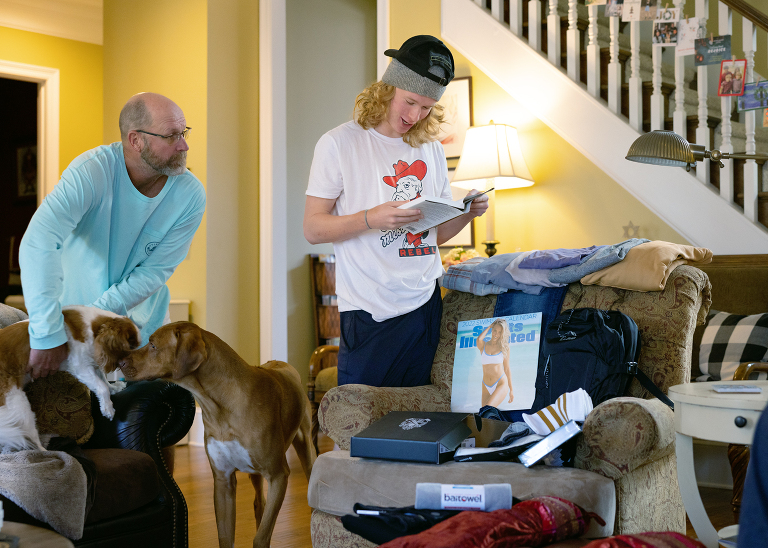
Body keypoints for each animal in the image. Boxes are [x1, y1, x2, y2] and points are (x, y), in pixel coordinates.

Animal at [0, 305, 141, 451]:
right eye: (130, 347)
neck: (93, 327)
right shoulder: (80, 366)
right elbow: (102, 387)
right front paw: (108, 408)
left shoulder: (92, 360)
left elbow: (104, 381)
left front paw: (114, 388)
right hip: (20, 407)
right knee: (32, 440)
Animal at [118, 321, 316, 548]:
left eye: (152, 345)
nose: (119, 362)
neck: (219, 406)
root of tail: (281, 362)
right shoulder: (223, 480)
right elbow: (225, 536)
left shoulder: (278, 475)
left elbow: (261, 537)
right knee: (260, 502)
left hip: (306, 448)